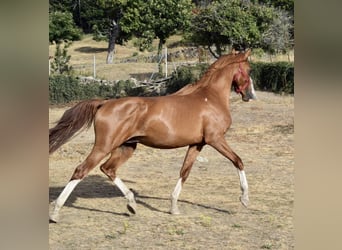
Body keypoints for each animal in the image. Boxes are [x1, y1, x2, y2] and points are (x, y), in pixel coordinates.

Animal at [49, 49, 255, 222]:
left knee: (108, 169)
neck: (210, 97)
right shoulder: (216, 139)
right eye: (249, 70)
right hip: (104, 146)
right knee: (81, 170)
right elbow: (238, 161)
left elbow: (184, 172)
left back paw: (132, 204)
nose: (250, 95)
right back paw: (55, 213)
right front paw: (244, 199)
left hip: (127, 147)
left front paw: (174, 208)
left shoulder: (197, 144)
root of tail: (104, 103)